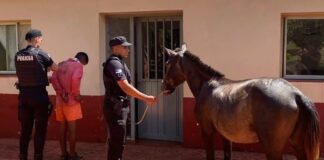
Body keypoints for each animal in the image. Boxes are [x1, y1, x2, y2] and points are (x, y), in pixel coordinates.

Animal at [161, 44, 318, 160]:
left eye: (167, 64)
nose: (163, 87)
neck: (207, 85)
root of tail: (295, 94)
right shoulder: (225, 136)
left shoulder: (207, 132)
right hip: (297, 144)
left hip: (273, 148)